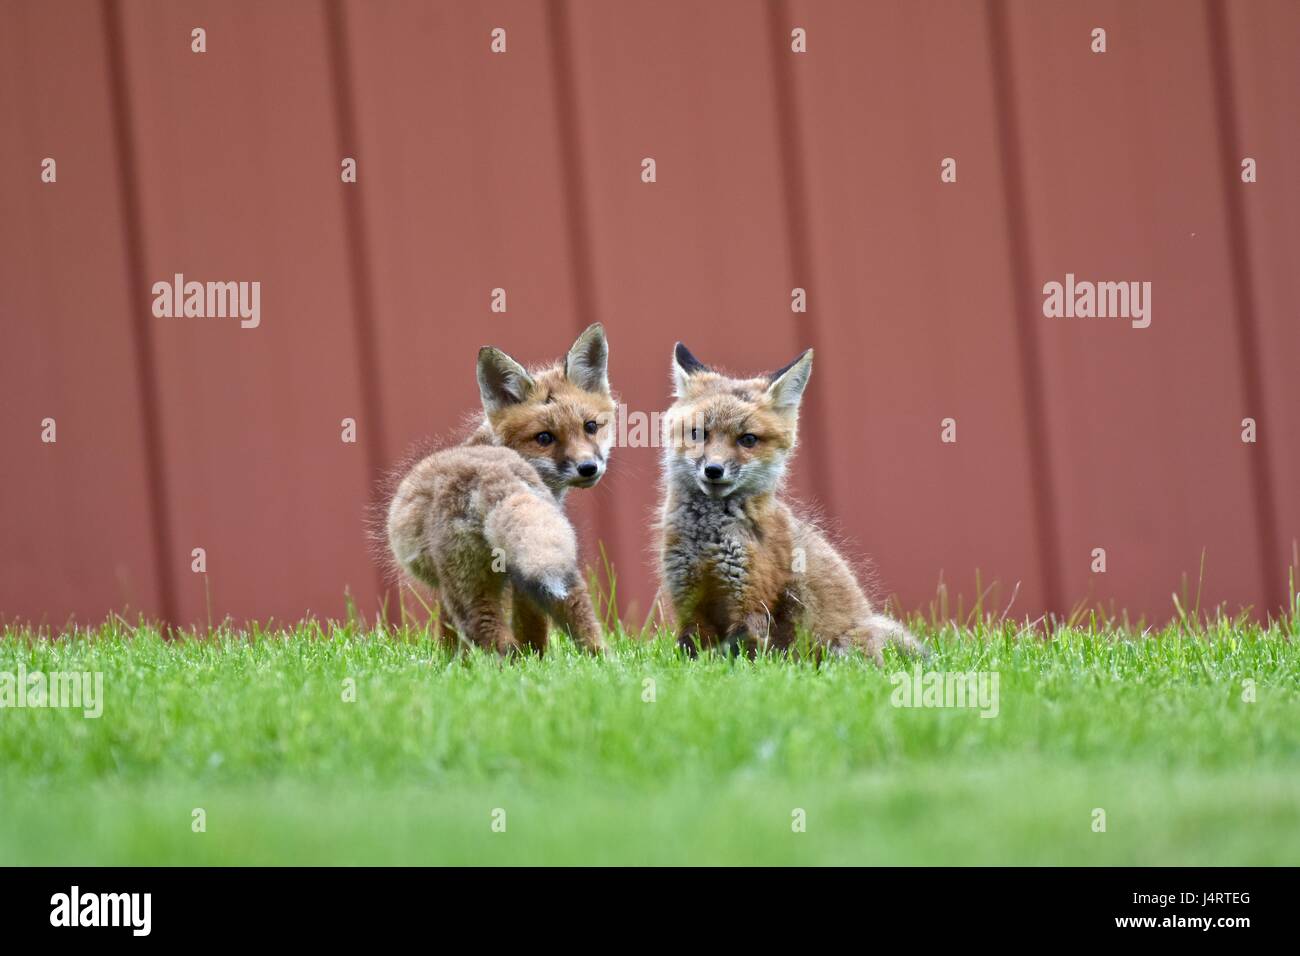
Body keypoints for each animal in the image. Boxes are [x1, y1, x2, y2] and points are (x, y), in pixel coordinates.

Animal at [387, 323, 614, 656]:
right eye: (544, 437)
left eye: (590, 427)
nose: (588, 468)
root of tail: (496, 479)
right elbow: (532, 627)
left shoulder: (447, 586)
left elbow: (447, 635)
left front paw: (448, 663)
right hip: (553, 569)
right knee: (581, 622)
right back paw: (595, 662)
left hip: (470, 586)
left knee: (494, 637)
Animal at [657, 343, 925, 664]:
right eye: (697, 433)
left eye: (748, 439)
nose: (713, 470)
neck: (708, 536)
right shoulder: (688, 601)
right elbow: (691, 653)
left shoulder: (750, 602)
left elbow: (744, 657)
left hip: (844, 648)